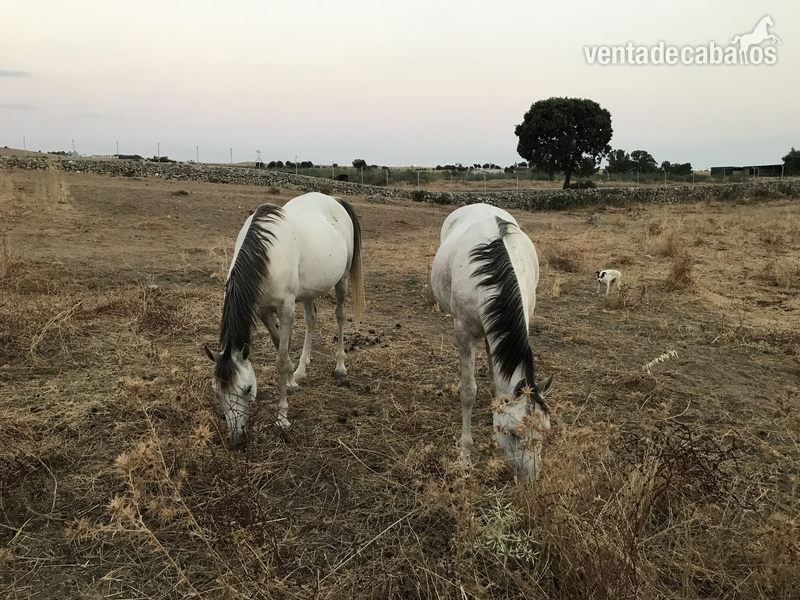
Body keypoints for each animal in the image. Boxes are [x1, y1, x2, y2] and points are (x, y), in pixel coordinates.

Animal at [204, 192, 365, 447]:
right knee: (311, 320)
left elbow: (280, 360)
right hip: (309, 291)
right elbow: (280, 343)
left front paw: (282, 419)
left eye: (247, 389)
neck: (266, 255)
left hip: (342, 281)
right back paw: (301, 368)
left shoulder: (286, 307)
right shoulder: (263, 310)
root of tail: (335, 200)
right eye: (217, 392)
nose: (236, 439)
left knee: (340, 317)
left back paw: (340, 367)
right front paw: (290, 382)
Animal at [431, 203, 552, 482]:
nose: (531, 481)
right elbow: (468, 392)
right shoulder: (464, 332)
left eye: (545, 431)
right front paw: (465, 459)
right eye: (514, 434)